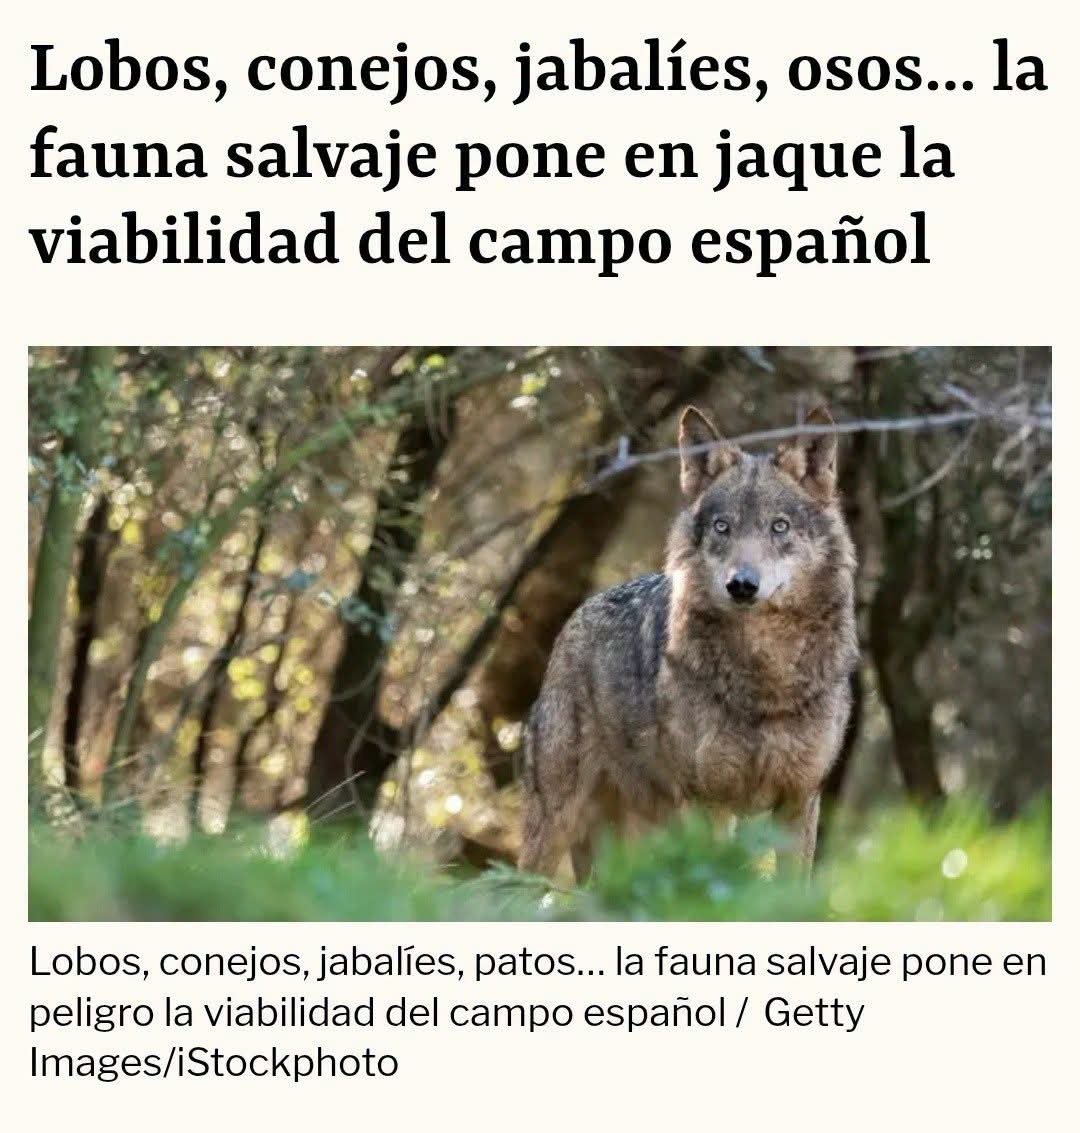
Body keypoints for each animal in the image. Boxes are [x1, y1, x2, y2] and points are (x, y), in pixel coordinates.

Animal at [519, 404, 858, 879]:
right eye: (722, 527)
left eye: (779, 527)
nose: (742, 585)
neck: (766, 679)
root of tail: (577, 615)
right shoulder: (709, 802)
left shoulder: (799, 800)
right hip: (558, 823)